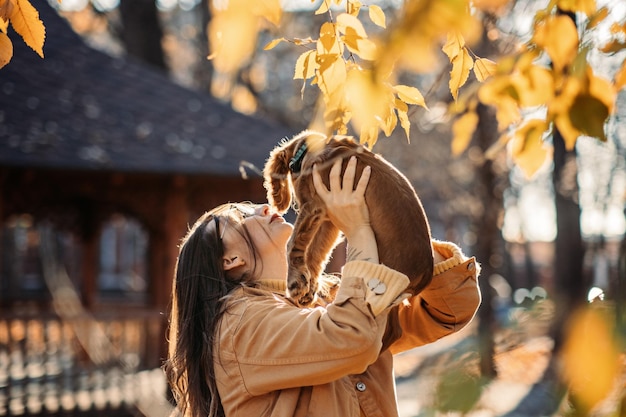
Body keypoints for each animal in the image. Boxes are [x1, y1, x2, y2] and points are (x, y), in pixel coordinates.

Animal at [260, 130, 432, 306]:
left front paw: (296, 283)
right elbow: (316, 252)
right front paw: (308, 289)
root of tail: (424, 277)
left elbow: (293, 243)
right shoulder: (328, 220)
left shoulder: (313, 205)